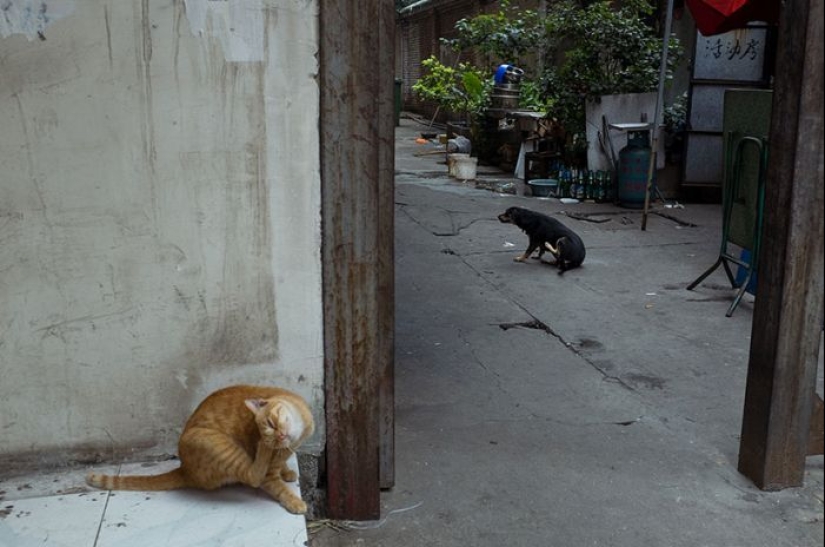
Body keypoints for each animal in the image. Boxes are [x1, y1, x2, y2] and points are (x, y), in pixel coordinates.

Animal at [86, 386, 312, 512]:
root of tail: (184, 469)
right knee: (252, 475)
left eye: (271, 424)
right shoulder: (268, 475)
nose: (278, 437)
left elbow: (283, 467)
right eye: (269, 431)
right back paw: (261, 454)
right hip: (216, 444)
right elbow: (277, 487)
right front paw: (295, 502)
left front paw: (287, 472)